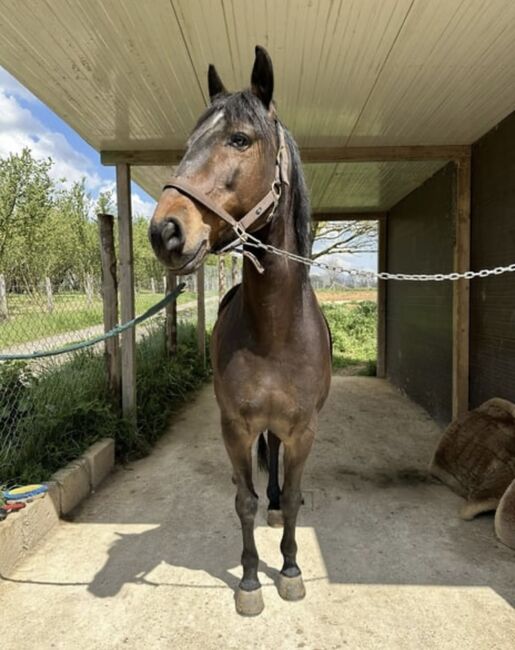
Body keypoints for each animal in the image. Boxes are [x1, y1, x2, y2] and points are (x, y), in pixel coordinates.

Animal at [149, 45, 332, 612]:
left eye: (240, 139)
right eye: (188, 144)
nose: (165, 232)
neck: (274, 331)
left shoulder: (304, 430)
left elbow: (292, 498)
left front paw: (290, 569)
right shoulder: (234, 427)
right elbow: (243, 501)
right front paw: (251, 580)